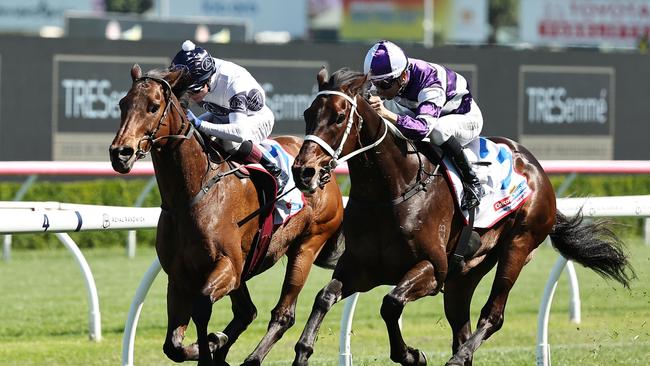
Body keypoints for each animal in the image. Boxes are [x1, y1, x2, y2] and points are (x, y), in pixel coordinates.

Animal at [107, 64, 344, 364]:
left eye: (153, 107)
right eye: (122, 103)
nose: (120, 153)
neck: (192, 195)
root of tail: (325, 171)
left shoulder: (227, 267)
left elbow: (201, 306)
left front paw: (211, 344)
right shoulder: (179, 276)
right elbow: (172, 345)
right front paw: (213, 343)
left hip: (307, 245)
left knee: (283, 314)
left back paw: (254, 355)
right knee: (247, 312)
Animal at [290, 67, 632, 364]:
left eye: (338, 117)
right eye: (307, 114)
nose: (303, 171)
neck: (392, 191)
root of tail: (536, 169)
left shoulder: (432, 268)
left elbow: (391, 304)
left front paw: (412, 355)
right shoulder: (361, 268)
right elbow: (323, 297)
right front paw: (303, 351)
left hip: (519, 244)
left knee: (493, 315)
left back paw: (457, 357)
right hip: (466, 273)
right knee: (461, 324)